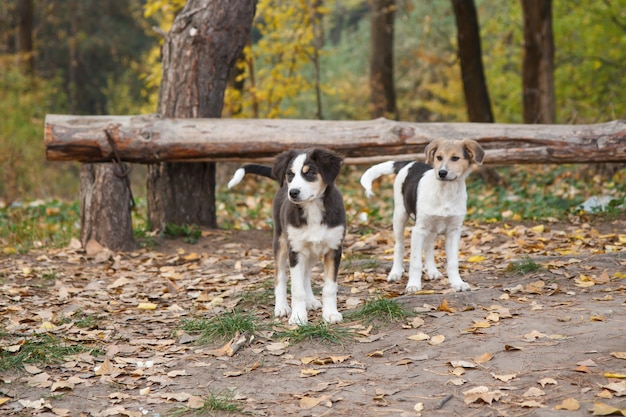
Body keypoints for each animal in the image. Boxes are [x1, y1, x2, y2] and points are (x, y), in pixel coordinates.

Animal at [225, 149, 344, 324]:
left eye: (310, 173)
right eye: (290, 174)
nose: (293, 192)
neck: (313, 209)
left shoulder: (333, 249)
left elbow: (330, 287)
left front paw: (330, 314)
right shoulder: (294, 250)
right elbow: (296, 289)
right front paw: (298, 317)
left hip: (311, 251)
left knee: (305, 274)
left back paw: (310, 301)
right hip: (281, 243)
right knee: (279, 278)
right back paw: (281, 307)